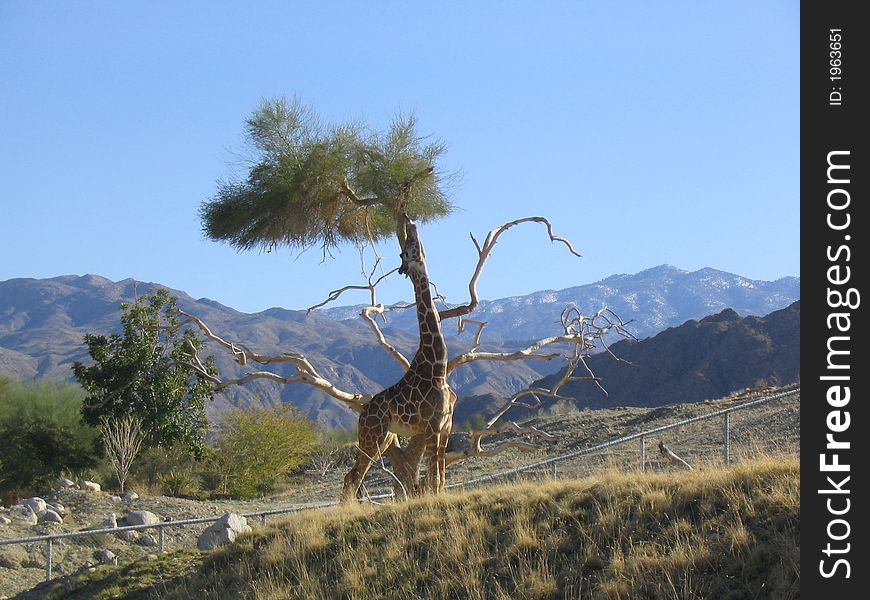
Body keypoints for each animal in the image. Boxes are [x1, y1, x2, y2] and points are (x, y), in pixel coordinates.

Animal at [340, 216, 454, 502]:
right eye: (406, 250)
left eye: (413, 245)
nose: (411, 223)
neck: (438, 368)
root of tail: (362, 414)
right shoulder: (433, 426)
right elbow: (434, 478)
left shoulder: (446, 426)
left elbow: (441, 478)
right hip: (372, 435)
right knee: (353, 476)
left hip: (384, 438)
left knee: (351, 475)